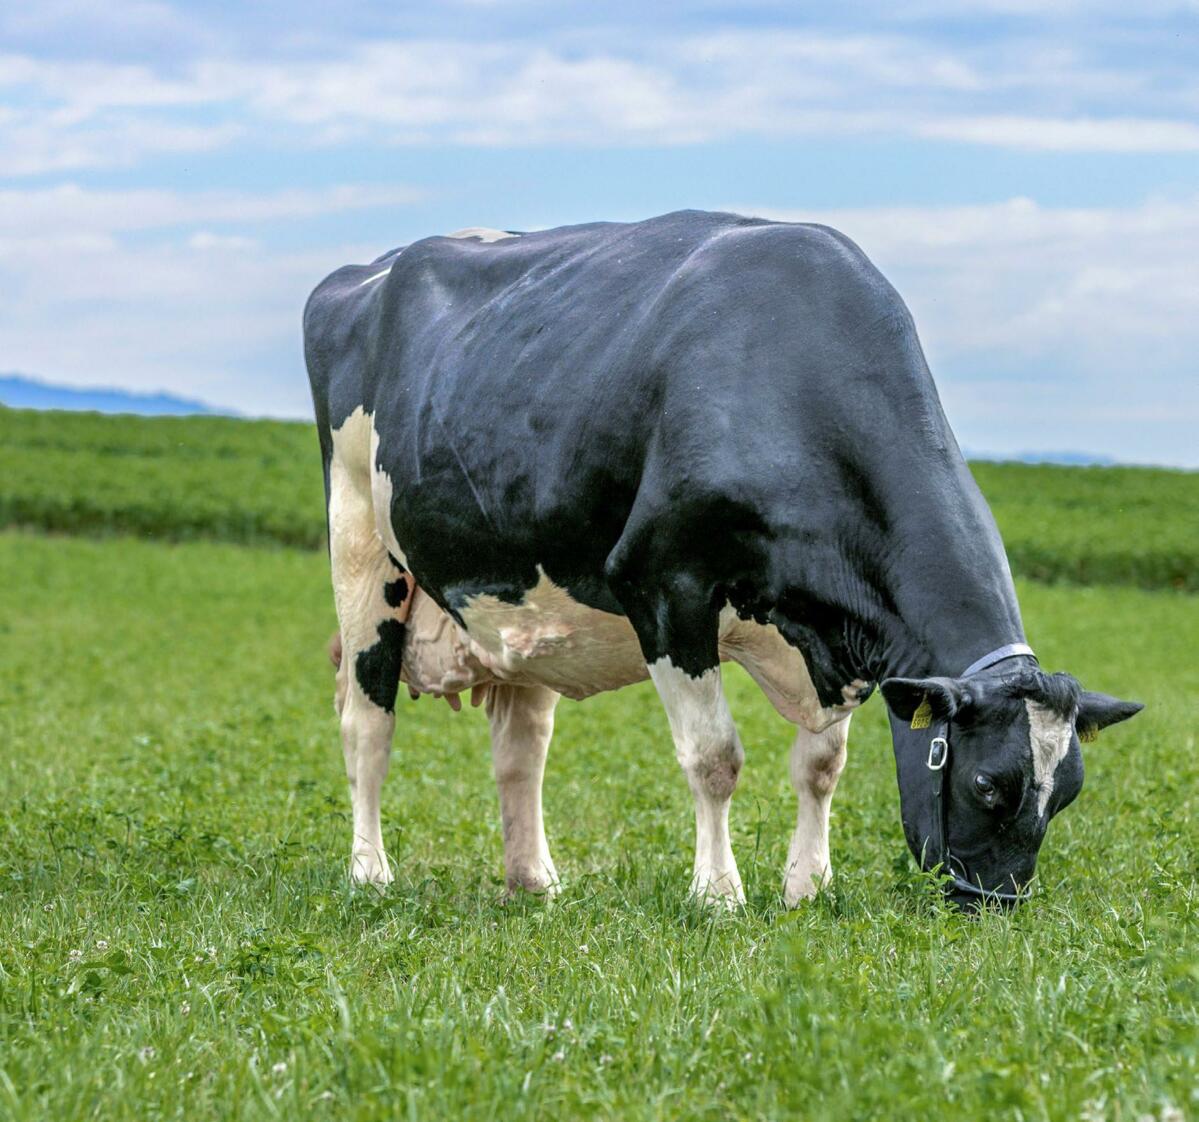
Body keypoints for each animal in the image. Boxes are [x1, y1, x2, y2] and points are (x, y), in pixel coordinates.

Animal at [303, 210, 1142, 911]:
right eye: (988, 785)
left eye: (1065, 793)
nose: (994, 906)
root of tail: (364, 271)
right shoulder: (664, 588)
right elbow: (713, 757)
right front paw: (717, 895)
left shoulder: (843, 645)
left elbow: (821, 766)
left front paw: (807, 886)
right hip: (360, 548)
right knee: (365, 725)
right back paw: (370, 872)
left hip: (514, 598)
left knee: (521, 749)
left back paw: (533, 881)